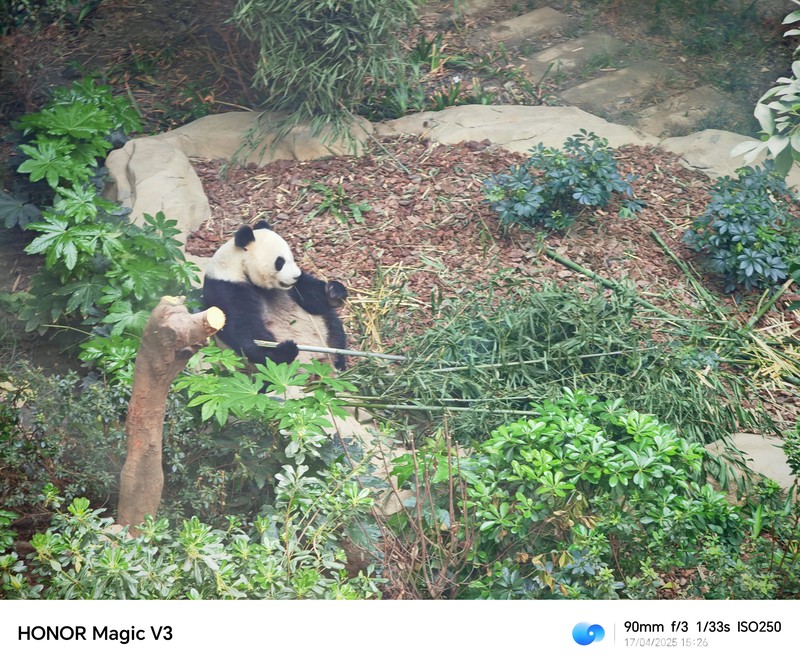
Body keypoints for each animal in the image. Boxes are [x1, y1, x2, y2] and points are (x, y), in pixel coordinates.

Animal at [202, 220, 348, 371]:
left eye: (292, 258)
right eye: (280, 262)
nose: (296, 276)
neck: (237, 266)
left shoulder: (291, 288)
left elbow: (311, 297)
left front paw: (334, 291)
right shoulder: (226, 288)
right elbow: (242, 328)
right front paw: (283, 350)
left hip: (323, 326)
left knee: (334, 329)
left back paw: (338, 362)